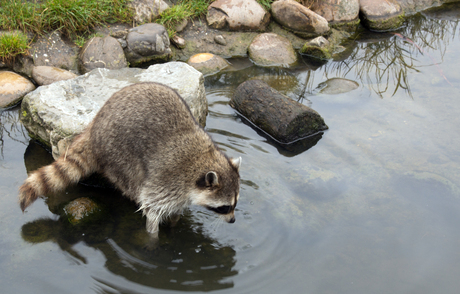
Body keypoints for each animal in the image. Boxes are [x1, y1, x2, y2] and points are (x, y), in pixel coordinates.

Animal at [18, 81, 241, 247]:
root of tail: (95, 126)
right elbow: (151, 208)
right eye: (224, 207)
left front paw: (175, 222)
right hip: (118, 153)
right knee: (133, 183)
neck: (202, 159)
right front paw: (155, 235)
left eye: (235, 204)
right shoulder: (167, 180)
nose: (233, 220)